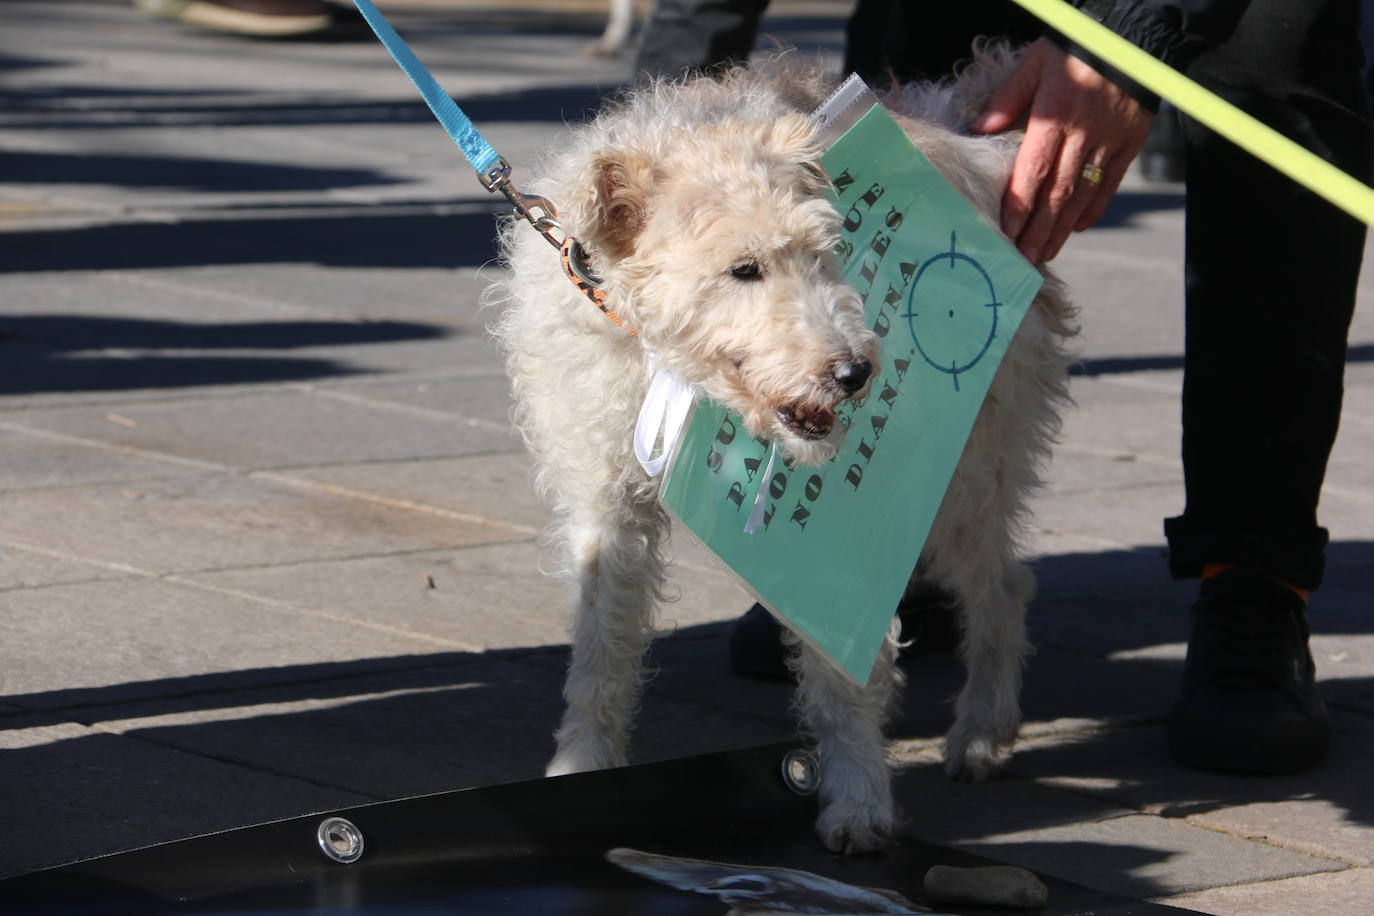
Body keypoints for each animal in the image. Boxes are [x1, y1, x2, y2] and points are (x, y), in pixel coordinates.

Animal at [489, 48, 1077, 851]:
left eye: (829, 254)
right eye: (744, 269)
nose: (855, 373)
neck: (672, 371)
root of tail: (956, 124)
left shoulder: (835, 537)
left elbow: (840, 670)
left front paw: (858, 796)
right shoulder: (608, 503)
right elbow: (601, 649)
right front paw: (583, 766)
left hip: (965, 475)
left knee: (1003, 588)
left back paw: (983, 734)